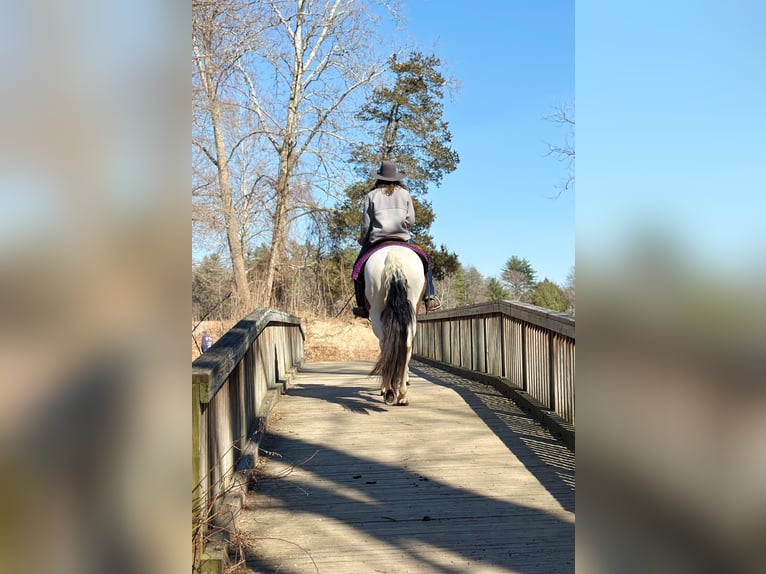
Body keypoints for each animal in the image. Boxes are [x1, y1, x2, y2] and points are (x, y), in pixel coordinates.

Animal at [364, 245, 426, 408]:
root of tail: (393, 256)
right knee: (406, 345)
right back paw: (401, 394)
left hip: (376, 312)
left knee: (387, 344)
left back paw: (390, 390)